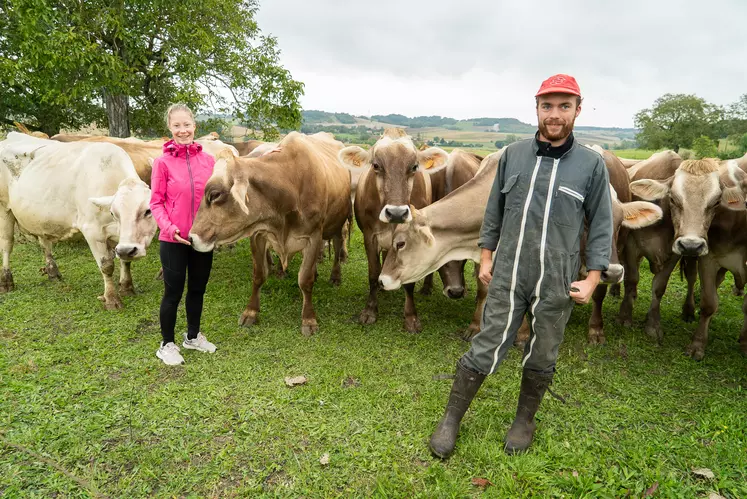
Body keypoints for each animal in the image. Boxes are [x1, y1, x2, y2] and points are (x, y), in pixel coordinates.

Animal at [0, 133, 158, 308]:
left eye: (148, 211)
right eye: (113, 213)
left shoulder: (122, 238)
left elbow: (125, 260)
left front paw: (126, 287)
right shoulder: (92, 230)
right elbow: (106, 266)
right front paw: (111, 298)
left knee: (44, 242)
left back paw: (52, 272)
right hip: (4, 208)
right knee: (6, 244)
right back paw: (6, 281)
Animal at [187, 132, 350, 336]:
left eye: (215, 194)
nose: (191, 237)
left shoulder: (313, 236)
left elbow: (305, 280)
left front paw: (309, 319)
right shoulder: (259, 235)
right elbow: (258, 275)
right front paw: (251, 312)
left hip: (338, 224)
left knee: (337, 247)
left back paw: (336, 276)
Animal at [338, 129, 450, 332]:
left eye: (414, 166)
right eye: (376, 165)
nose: (396, 213)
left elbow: (409, 282)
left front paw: (411, 317)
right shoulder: (370, 236)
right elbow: (373, 273)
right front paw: (370, 311)